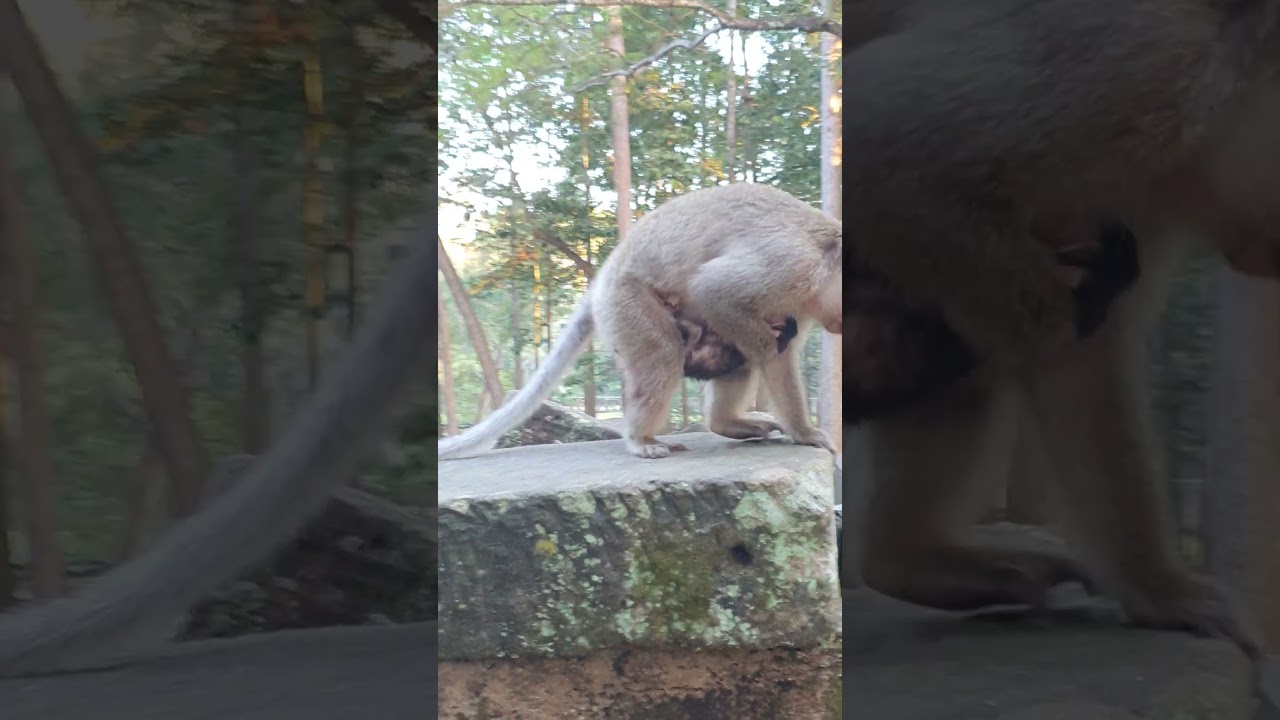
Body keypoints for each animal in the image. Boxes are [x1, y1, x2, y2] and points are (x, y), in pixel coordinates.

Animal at [438, 183, 843, 461]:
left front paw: (800, 429)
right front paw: (803, 424)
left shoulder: (800, 298)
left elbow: (778, 354)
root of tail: (603, 277)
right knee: (665, 352)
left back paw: (725, 423)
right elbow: (714, 291)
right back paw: (640, 438)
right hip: (625, 302)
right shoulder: (792, 265)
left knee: (732, 355)